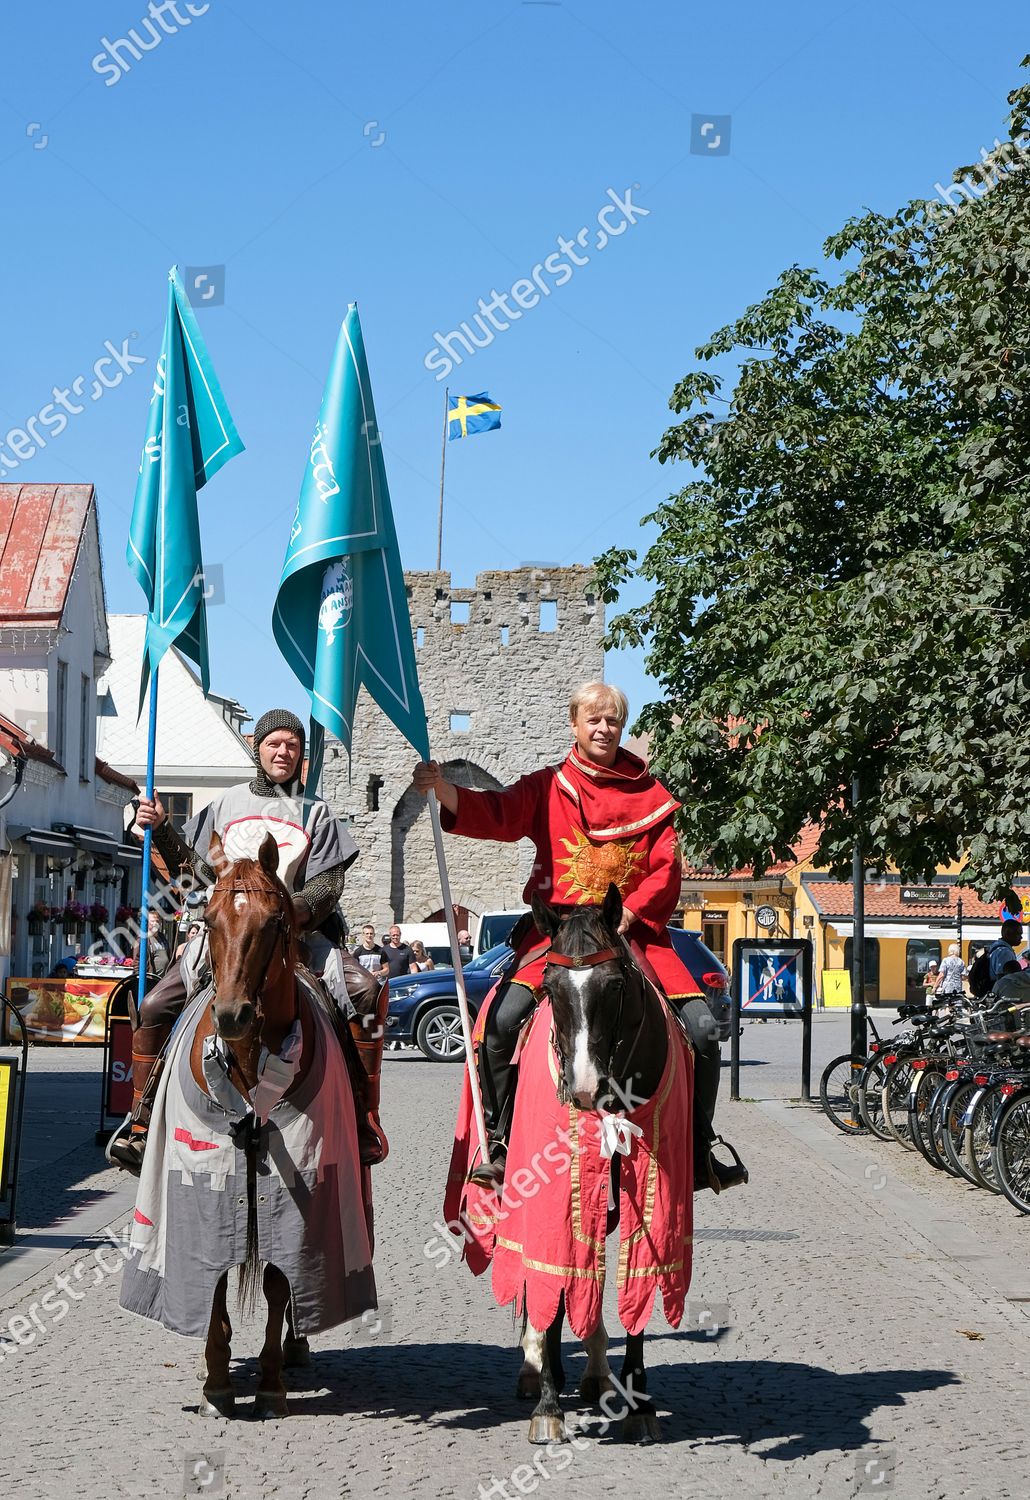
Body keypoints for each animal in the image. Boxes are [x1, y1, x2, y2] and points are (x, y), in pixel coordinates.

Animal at [515, 882, 683, 1446]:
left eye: (614, 986)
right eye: (549, 985)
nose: (585, 1088)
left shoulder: (654, 1191)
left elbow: (639, 1271)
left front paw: (639, 1402)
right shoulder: (547, 1191)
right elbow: (554, 1268)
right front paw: (548, 1404)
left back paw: (594, 1370)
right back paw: (538, 1363)